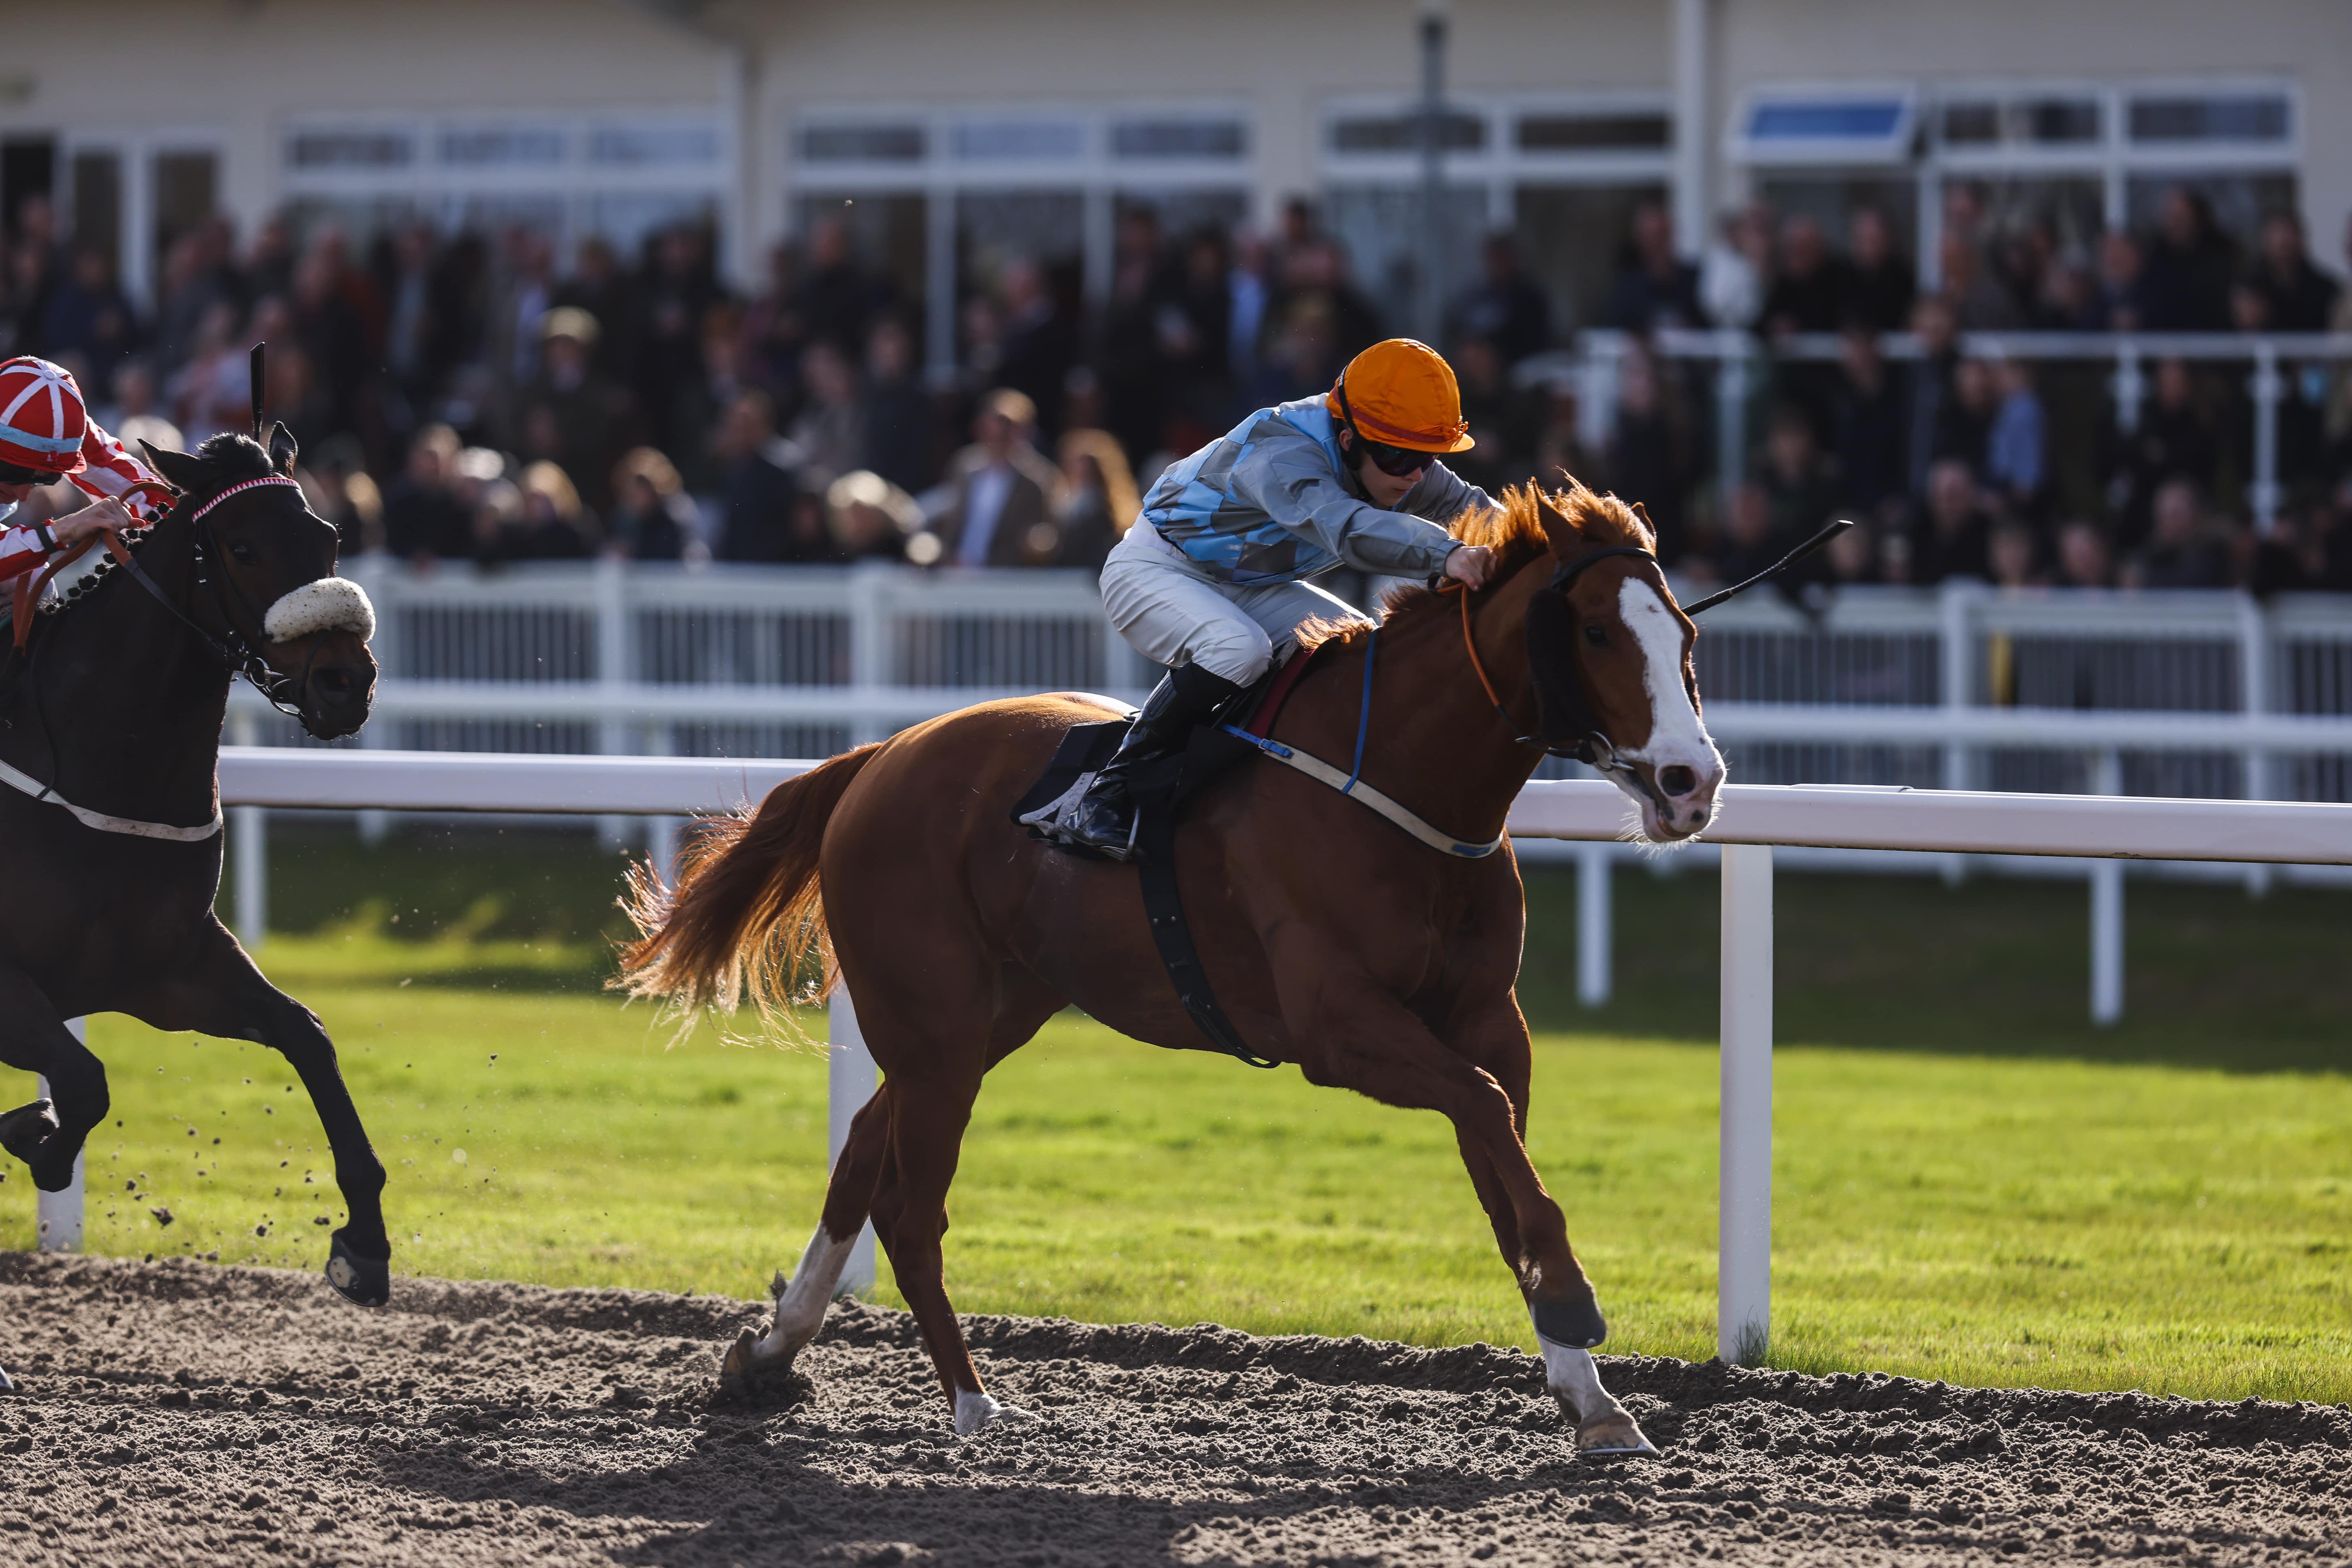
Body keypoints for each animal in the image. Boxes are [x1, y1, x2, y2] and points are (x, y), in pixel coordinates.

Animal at [0, 425, 385, 1393]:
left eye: (328, 536)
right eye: (242, 548)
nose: (345, 683)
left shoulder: (169, 972)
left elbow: (307, 1037)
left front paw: (364, 1244)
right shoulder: (9, 987)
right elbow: (85, 1083)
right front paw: (35, 1133)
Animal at [616, 480, 1726, 1453]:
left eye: (1683, 633)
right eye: (1595, 633)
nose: (1692, 781)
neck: (1397, 784)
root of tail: (877, 758)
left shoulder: (1489, 1018)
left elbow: (1506, 1174)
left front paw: (1592, 1398)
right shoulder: (1338, 1026)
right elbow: (1490, 1119)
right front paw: (1577, 1308)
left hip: (983, 1018)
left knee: (858, 1152)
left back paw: (770, 1352)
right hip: (934, 1025)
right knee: (907, 1204)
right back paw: (972, 1404)